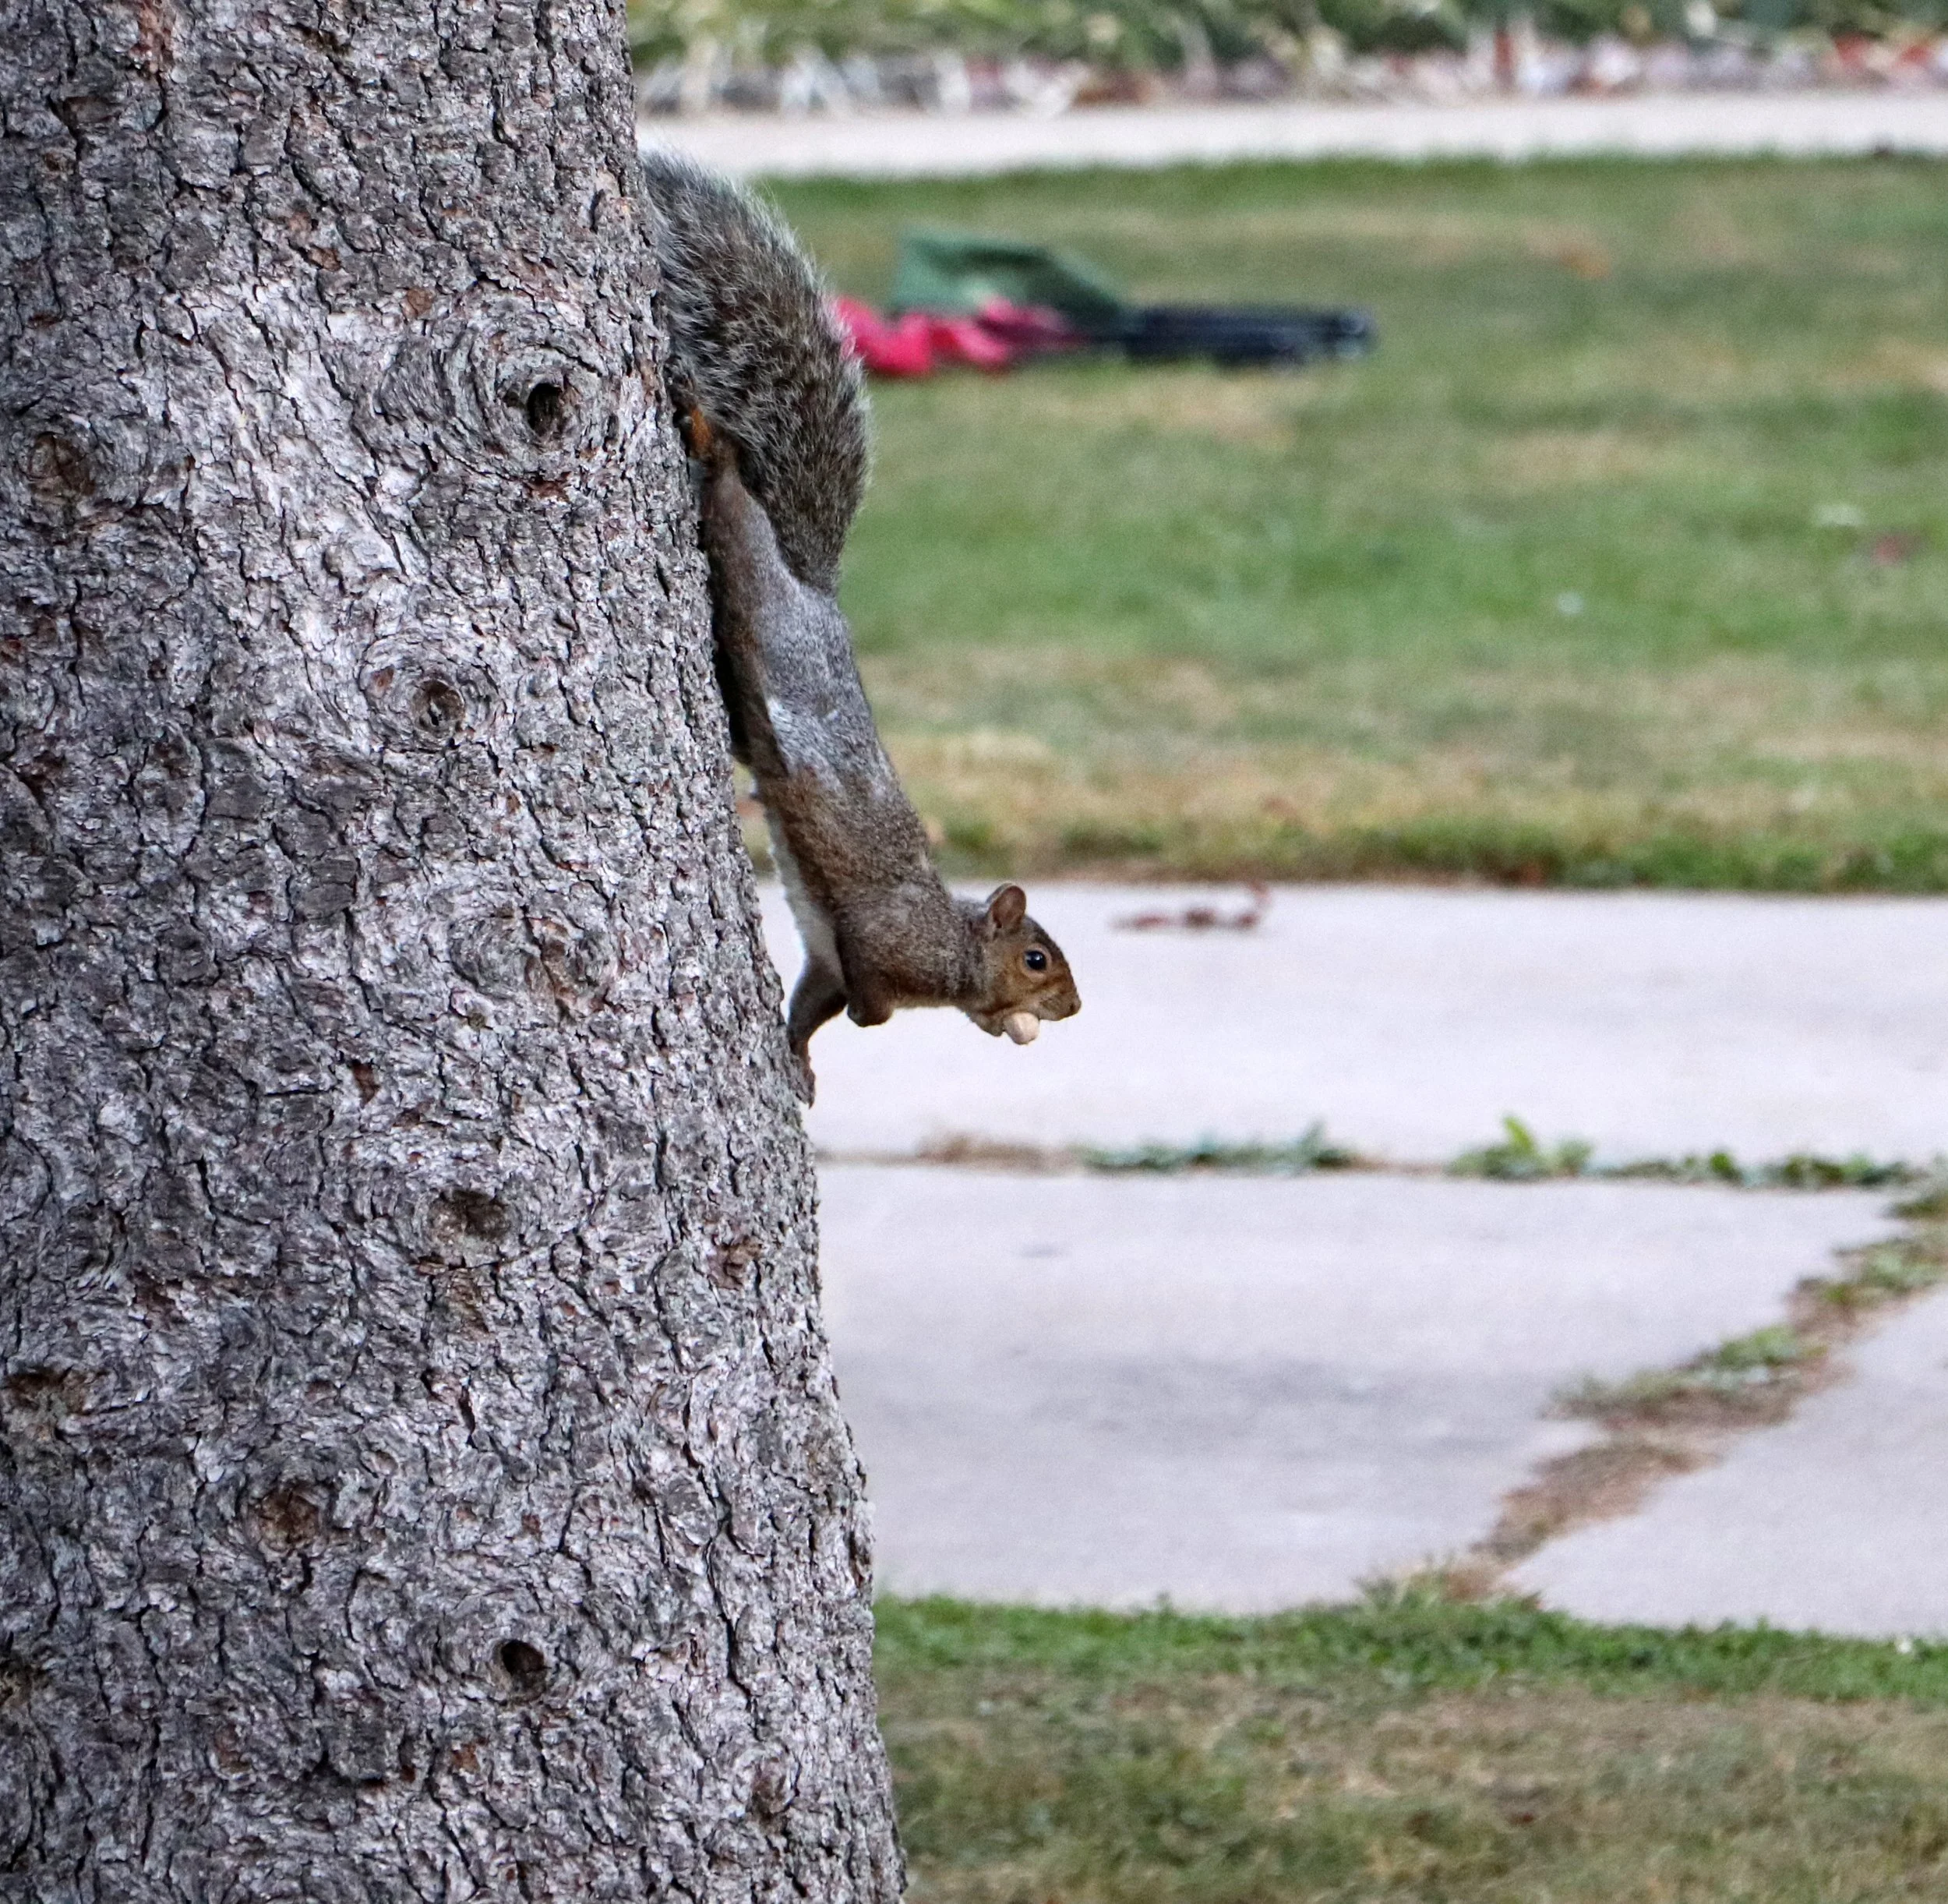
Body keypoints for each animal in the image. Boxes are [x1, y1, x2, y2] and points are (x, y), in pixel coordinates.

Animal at [642, 153, 1081, 1101]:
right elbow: (868, 995)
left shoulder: (824, 968)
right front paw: (874, 1024)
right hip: (749, 569)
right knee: (731, 494)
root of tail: (816, 592)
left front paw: (799, 1060)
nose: (1072, 1008)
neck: (952, 944)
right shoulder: (877, 946)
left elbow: (812, 1005)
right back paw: (708, 434)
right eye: (1036, 958)